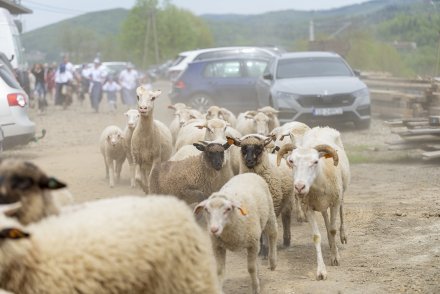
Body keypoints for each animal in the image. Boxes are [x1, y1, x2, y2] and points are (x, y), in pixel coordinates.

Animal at [276, 126, 350, 280]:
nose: (299, 187)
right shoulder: (308, 208)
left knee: (341, 209)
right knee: (326, 217)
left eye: (315, 161)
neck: (318, 183)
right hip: (322, 204)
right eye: (291, 161)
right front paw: (321, 270)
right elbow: (316, 236)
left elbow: (333, 229)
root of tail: (321, 128)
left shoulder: (334, 202)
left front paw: (335, 257)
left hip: (341, 191)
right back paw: (330, 241)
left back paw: (342, 235)